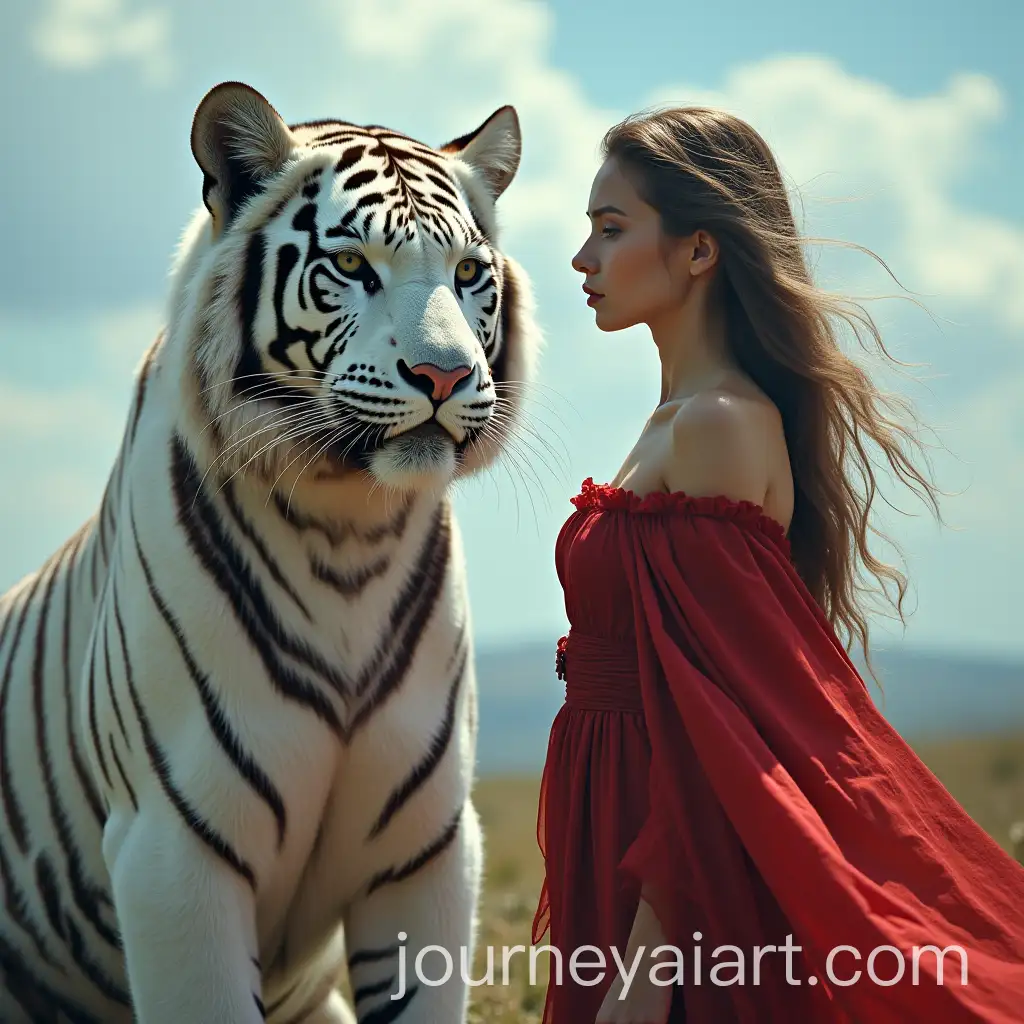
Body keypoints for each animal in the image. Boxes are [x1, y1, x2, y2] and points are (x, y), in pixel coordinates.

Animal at [0, 80, 541, 1023]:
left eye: (469, 274)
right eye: (354, 266)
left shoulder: (427, 847)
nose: (444, 376)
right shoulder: (174, 849)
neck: (350, 529)